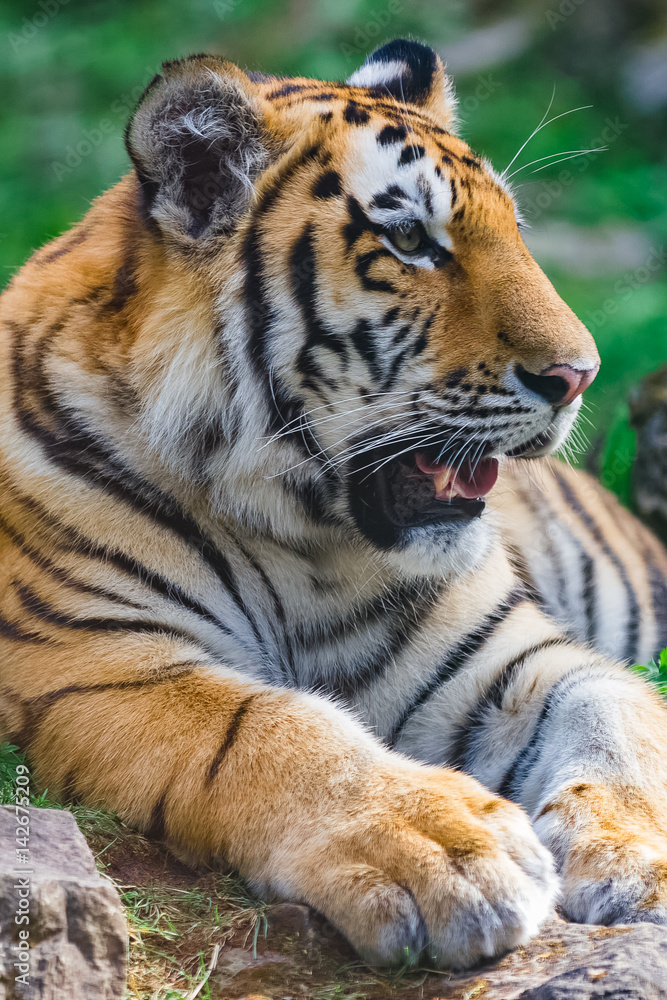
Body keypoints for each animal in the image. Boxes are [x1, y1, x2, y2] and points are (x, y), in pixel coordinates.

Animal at [3, 37, 667, 968]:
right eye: (409, 239)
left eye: (516, 233)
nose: (580, 376)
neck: (306, 540)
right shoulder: (94, 662)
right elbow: (271, 730)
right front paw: (448, 849)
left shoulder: (516, 660)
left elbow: (616, 717)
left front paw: (637, 860)